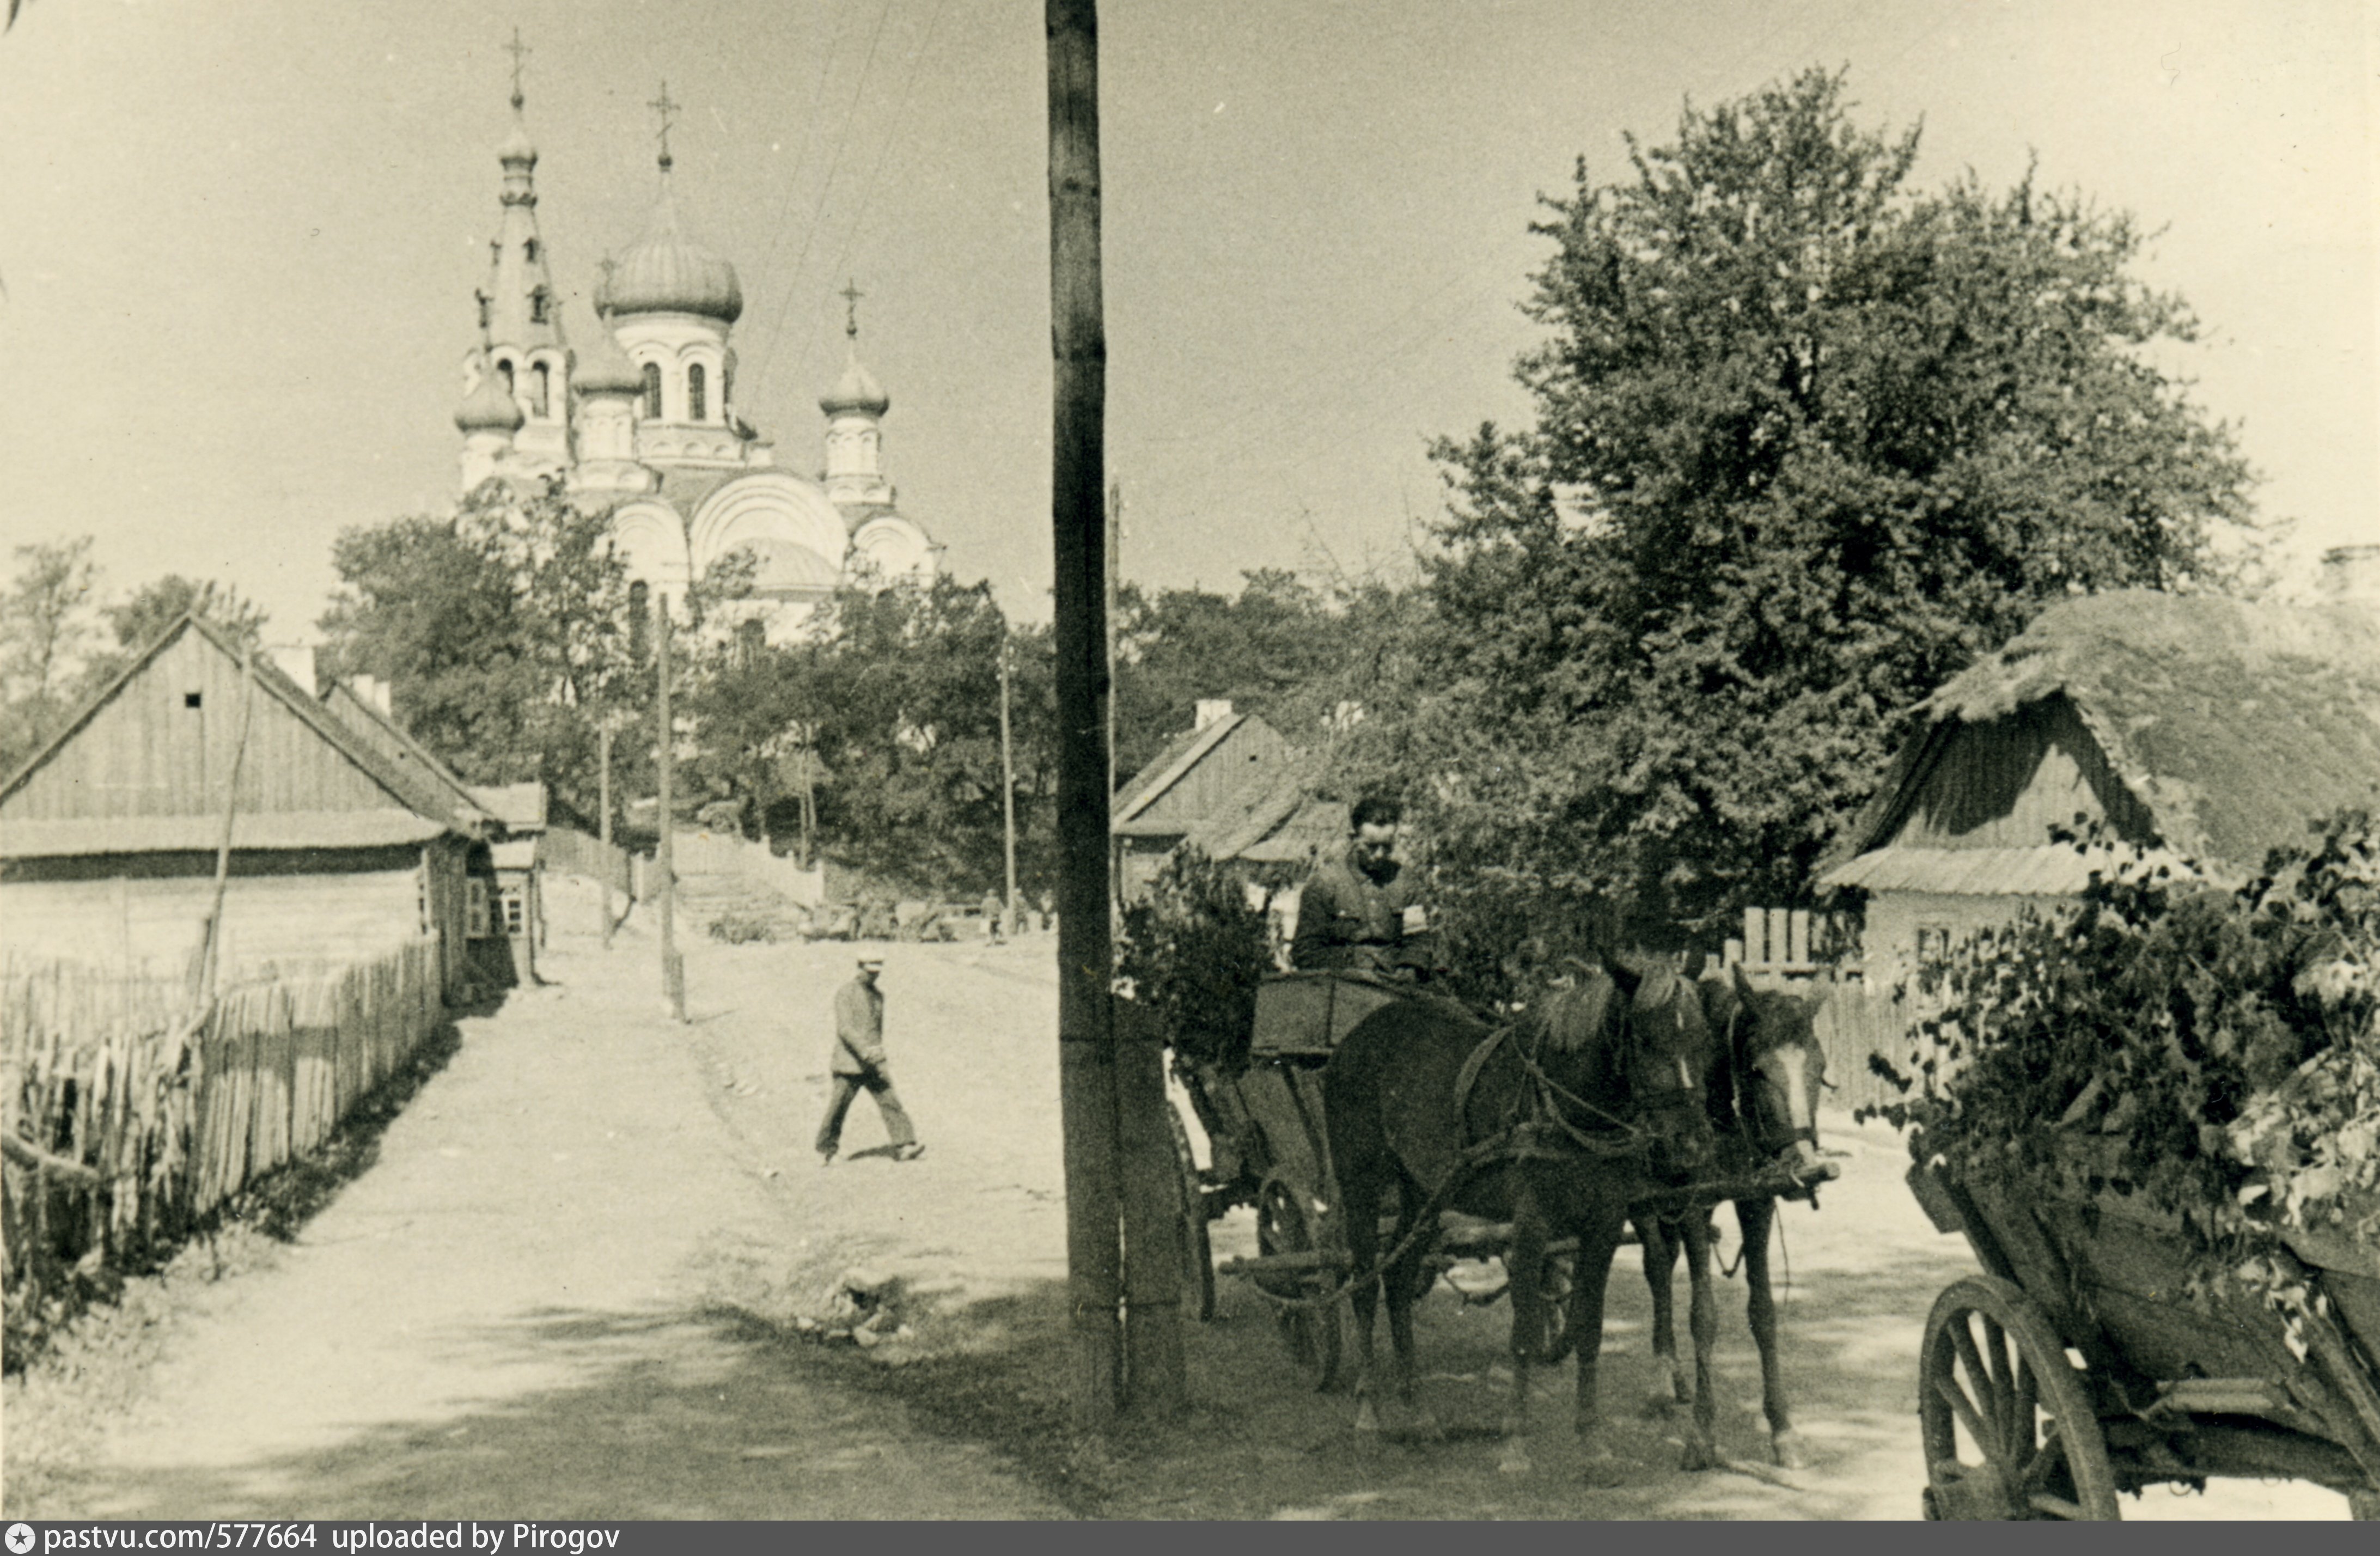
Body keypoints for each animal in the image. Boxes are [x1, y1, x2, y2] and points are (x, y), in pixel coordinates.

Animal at [1323, 956, 1732, 1484]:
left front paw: (1593, 1444)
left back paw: (1419, 1414)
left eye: (1704, 1039)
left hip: (1422, 1191)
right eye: (1644, 1040)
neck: (1567, 1102)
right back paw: (1369, 1417)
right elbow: (1522, 1332)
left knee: (1397, 1278)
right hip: (1361, 1185)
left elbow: (1589, 1329)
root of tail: (1358, 1036)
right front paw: (1515, 1443)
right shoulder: (1532, 1227)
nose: (1692, 1146)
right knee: (1364, 1287)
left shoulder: (1602, 1226)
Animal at [1628, 961, 1828, 1475]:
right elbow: (1704, 1314)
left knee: (1664, 1262)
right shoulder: (1696, 1204)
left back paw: (1674, 1373)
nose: (1804, 1167)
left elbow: (1763, 1311)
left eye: (1820, 1068)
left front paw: (1783, 1429)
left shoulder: (1756, 1201)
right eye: (1756, 1070)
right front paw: (1702, 1434)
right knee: (1656, 1267)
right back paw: (1660, 1380)